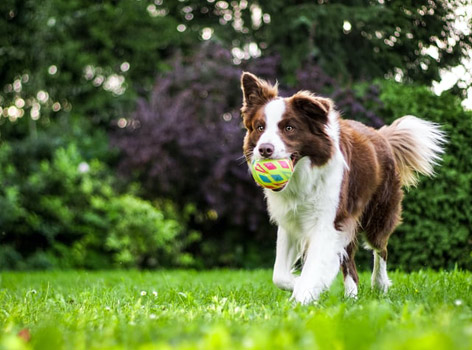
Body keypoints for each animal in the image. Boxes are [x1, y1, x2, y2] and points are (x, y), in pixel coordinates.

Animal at [242, 72, 444, 304]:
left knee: (381, 248)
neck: (303, 176)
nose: (264, 149)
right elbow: (279, 275)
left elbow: (313, 267)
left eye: (289, 128)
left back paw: (379, 284)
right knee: (350, 264)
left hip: (377, 214)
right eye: (260, 127)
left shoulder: (328, 221)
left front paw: (303, 296)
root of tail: (382, 136)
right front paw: (301, 285)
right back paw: (351, 297)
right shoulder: (291, 221)